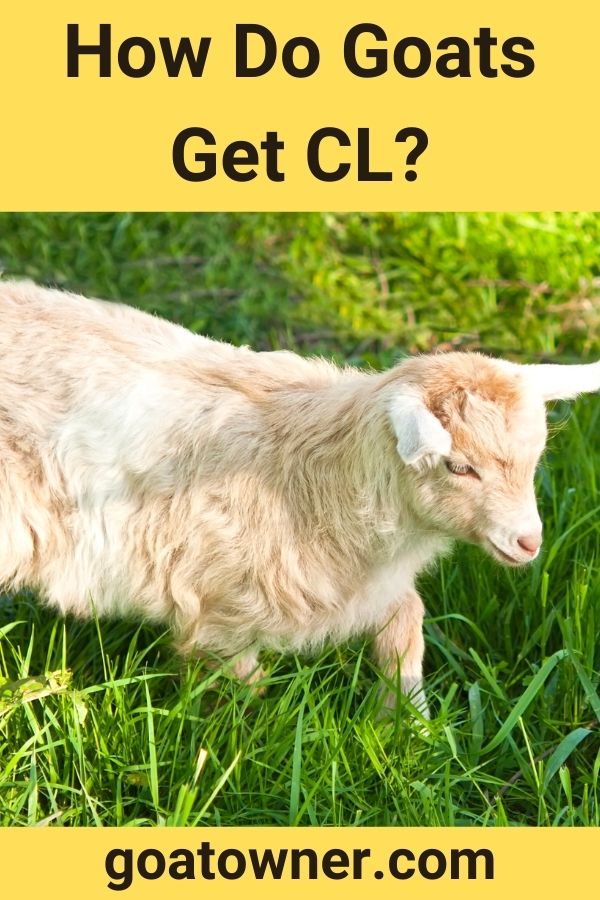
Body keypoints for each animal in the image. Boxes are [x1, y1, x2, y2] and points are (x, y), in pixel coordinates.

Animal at [0, 280, 598, 715]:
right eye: (459, 466)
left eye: (535, 457)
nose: (527, 542)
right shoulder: (216, 605)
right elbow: (246, 687)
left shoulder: (366, 586)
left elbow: (406, 625)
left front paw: (409, 724)